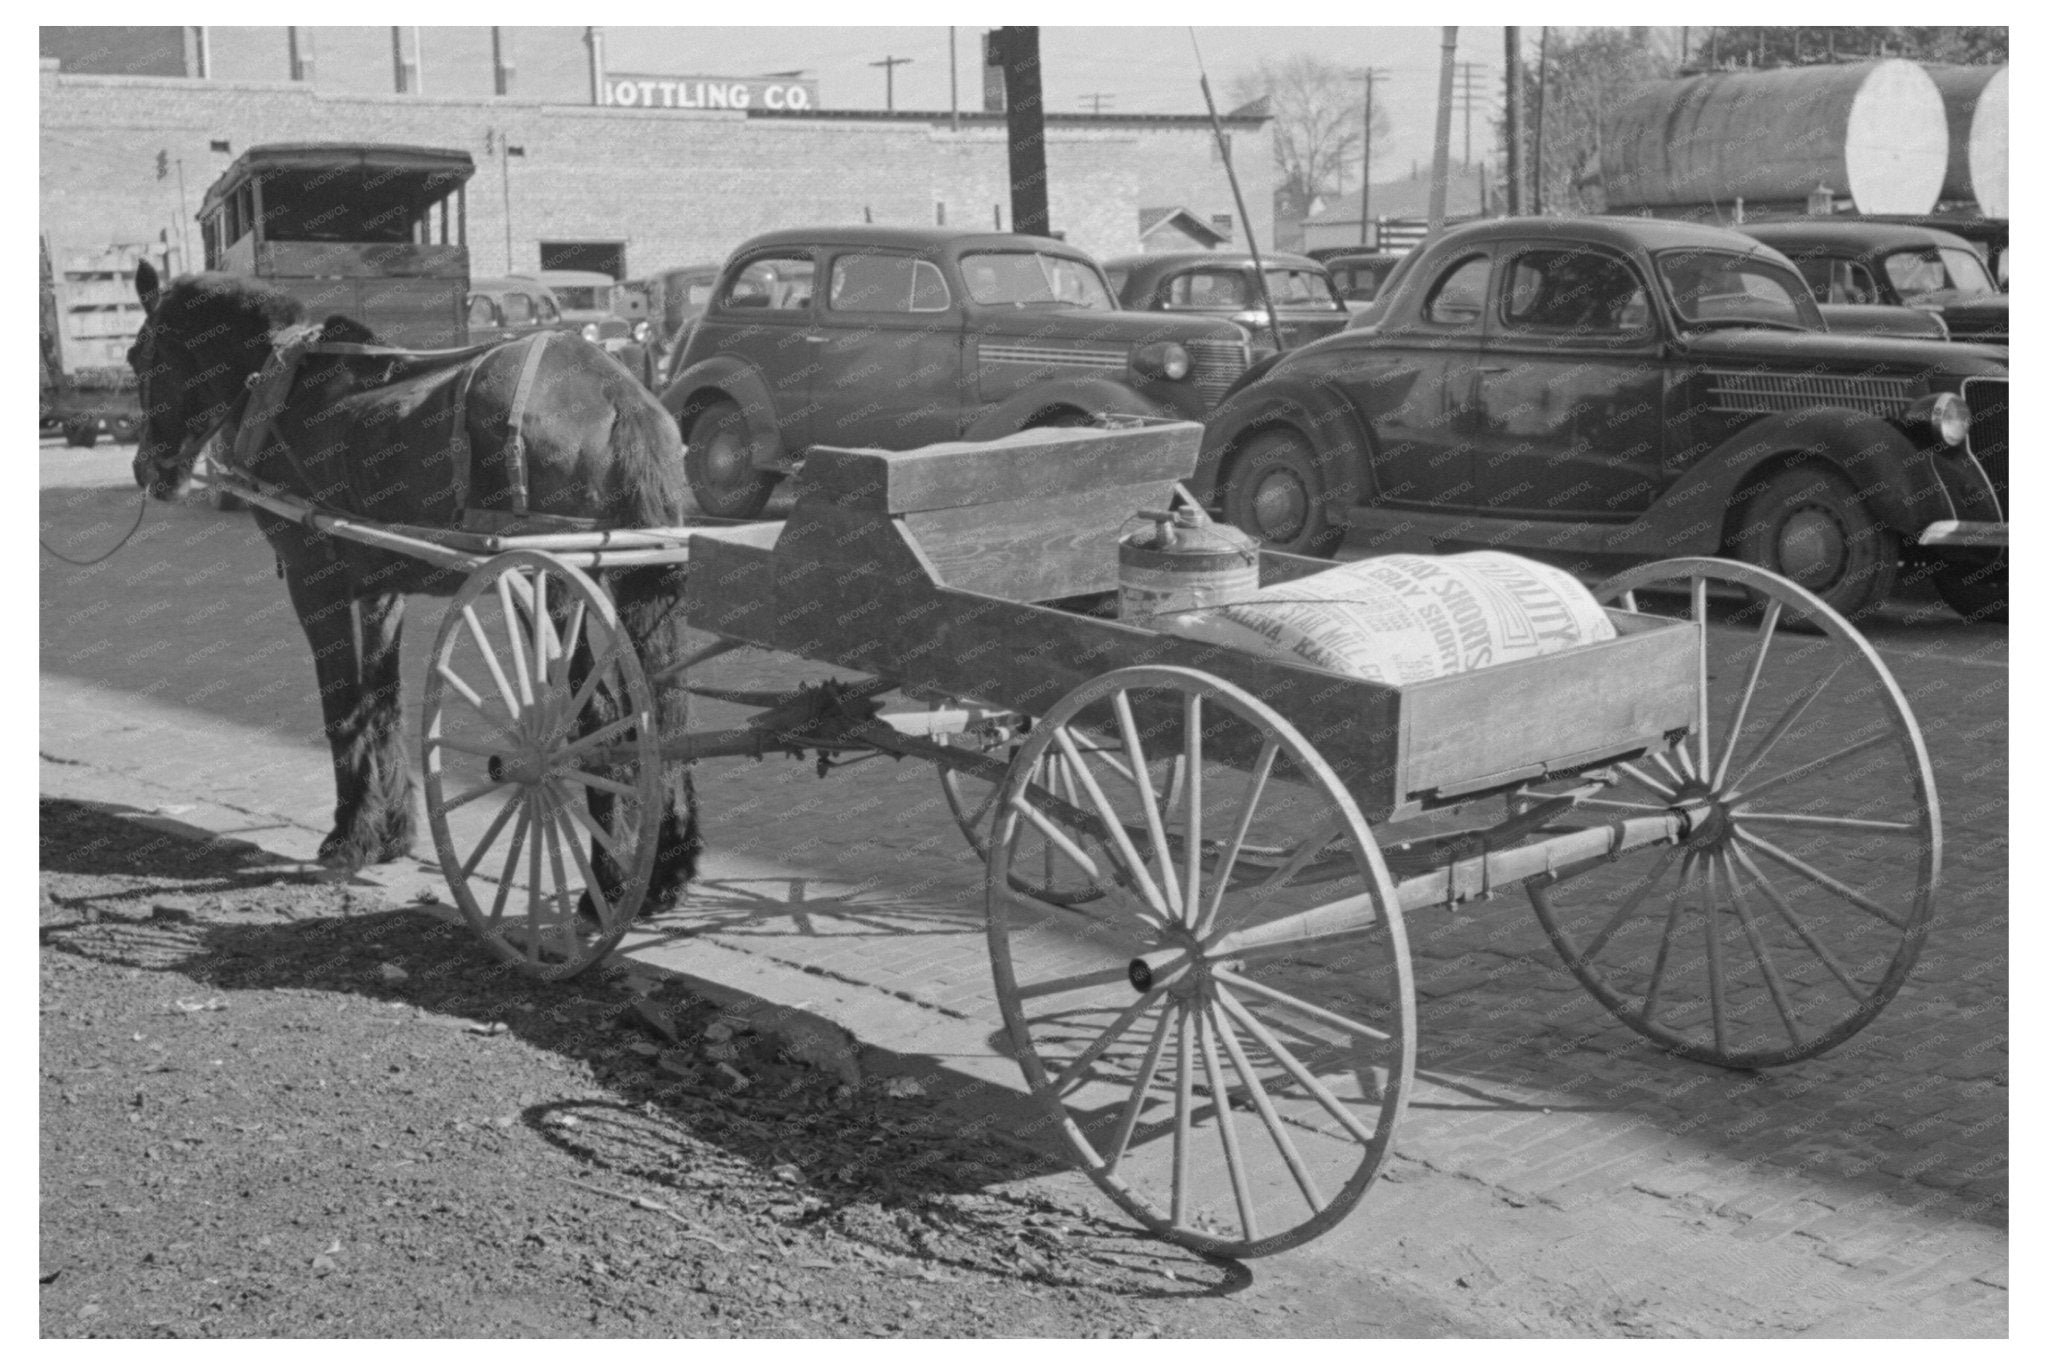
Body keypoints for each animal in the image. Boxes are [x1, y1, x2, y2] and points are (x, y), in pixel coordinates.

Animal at [130, 258, 704, 916]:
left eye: (139, 355)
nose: (148, 469)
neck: (286, 389)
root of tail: (616, 393)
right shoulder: (381, 591)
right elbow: (382, 703)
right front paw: (392, 833)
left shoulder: (314, 580)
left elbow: (343, 708)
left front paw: (348, 838)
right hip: (639, 580)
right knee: (665, 709)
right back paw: (666, 871)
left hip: (553, 587)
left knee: (604, 721)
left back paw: (606, 882)